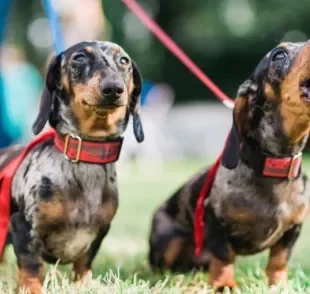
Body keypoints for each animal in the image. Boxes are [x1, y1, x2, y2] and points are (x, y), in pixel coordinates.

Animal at [0, 40, 144, 294]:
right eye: (79, 58)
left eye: (124, 60)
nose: (114, 88)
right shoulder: (22, 226)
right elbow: (31, 266)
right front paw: (32, 288)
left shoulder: (100, 233)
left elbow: (84, 263)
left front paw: (84, 285)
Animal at [147, 41, 310, 290]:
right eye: (279, 55)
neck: (272, 167)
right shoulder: (214, 219)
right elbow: (224, 256)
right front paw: (224, 285)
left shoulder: (293, 229)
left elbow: (279, 260)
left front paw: (280, 286)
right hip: (167, 242)